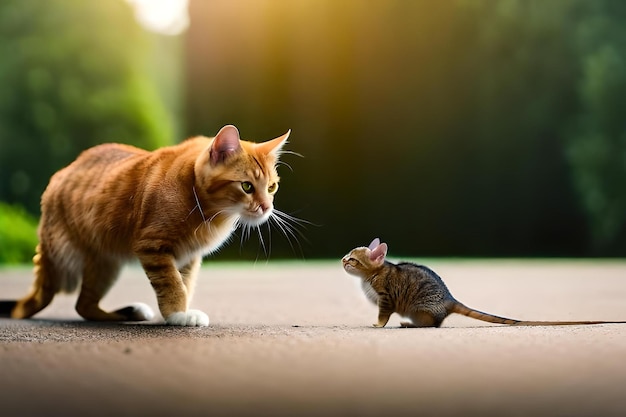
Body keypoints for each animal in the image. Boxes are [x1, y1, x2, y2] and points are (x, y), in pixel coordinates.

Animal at [1, 123, 288, 324]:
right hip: (80, 257)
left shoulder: (188, 257)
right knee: (81, 304)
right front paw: (178, 313)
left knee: (84, 305)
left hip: (106, 263)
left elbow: (185, 283)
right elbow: (172, 283)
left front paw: (176, 312)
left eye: (271, 187)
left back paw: (128, 313)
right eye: (247, 186)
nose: (266, 207)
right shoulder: (153, 247)